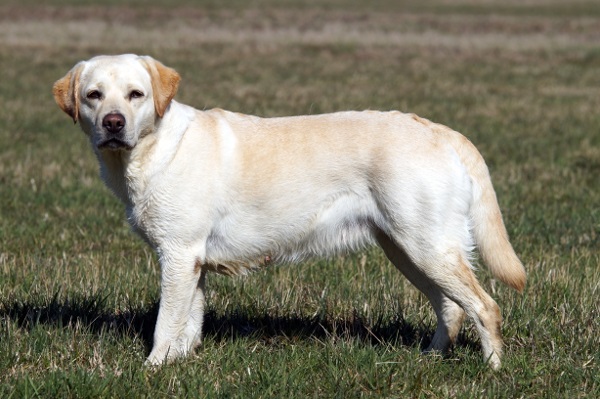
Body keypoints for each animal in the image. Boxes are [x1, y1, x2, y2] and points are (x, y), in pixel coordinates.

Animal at [52, 54, 524, 370]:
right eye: (93, 96)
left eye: (137, 95)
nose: (113, 123)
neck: (154, 149)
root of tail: (440, 130)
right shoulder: (192, 261)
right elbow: (190, 320)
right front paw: (181, 363)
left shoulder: (178, 254)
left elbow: (167, 322)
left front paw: (153, 368)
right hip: (407, 250)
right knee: (451, 308)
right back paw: (429, 357)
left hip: (426, 247)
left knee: (485, 307)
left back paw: (492, 371)